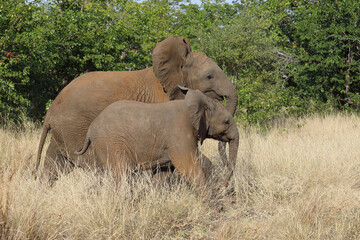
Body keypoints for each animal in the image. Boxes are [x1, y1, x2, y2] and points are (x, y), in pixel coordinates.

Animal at [75, 87, 239, 190]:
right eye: (226, 122)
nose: (223, 186)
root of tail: (91, 128)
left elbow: (164, 172)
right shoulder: (178, 132)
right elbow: (188, 165)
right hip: (110, 143)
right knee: (122, 174)